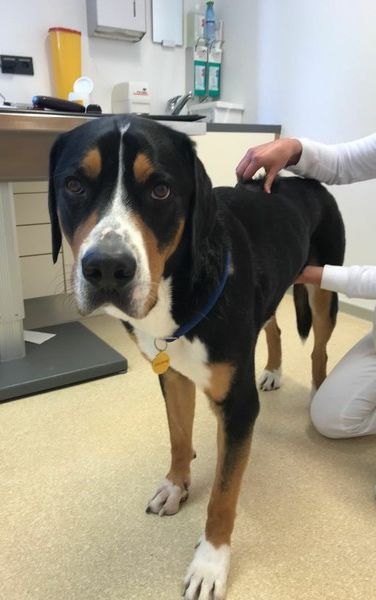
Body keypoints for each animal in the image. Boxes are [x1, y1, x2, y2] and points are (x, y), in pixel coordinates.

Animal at [48, 115, 346, 596]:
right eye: (74, 185)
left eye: (160, 190)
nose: (107, 268)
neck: (178, 288)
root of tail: (306, 180)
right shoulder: (171, 374)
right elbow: (178, 436)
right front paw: (176, 486)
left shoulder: (237, 406)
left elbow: (223, 496)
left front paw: (211, 563)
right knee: (275, 327)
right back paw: (274, 369)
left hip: (323, 289)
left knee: (319, 350)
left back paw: (318, 390)